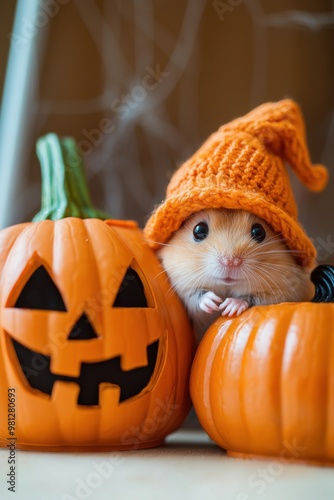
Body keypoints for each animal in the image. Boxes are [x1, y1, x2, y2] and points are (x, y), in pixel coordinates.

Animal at [158, 207, 314, 340]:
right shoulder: (182, 284)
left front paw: (229, 307)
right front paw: (214, 302)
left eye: (259, 232)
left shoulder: (285, 291)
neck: (227, 287)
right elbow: (196, 296)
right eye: (199, 230)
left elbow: (252, 299)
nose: (230, 262)